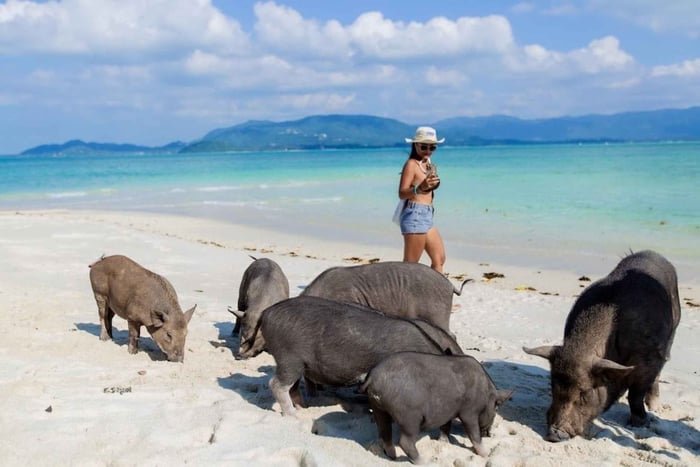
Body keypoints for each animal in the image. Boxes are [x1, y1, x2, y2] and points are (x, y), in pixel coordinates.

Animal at [257, 295, 464, 416]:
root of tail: (266, 313)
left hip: (297, 364)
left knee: (292, 387)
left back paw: (303, 408)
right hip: (289, 358)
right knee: (276, 384)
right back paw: (293, 415)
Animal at [359, 352, 514, 462]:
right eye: (496, 408)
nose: (489, 434)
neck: (486, 392)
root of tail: (373, 377)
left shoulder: (448, 412)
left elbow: (445, 427)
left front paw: (444, 442)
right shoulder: (469, 412)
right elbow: (474, 435)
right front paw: (486, 454)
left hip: (379, 409)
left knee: (385, 433)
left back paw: (392, 457)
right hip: (409, 417)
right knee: (405, 442)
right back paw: (423, 462)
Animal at [523, 250, 681, 442]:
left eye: (584, 392)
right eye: (553, 385)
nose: (554, 434)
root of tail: (651, 253)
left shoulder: (649, 358)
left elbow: (636, 394)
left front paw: (640, 423)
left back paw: (655, 408)